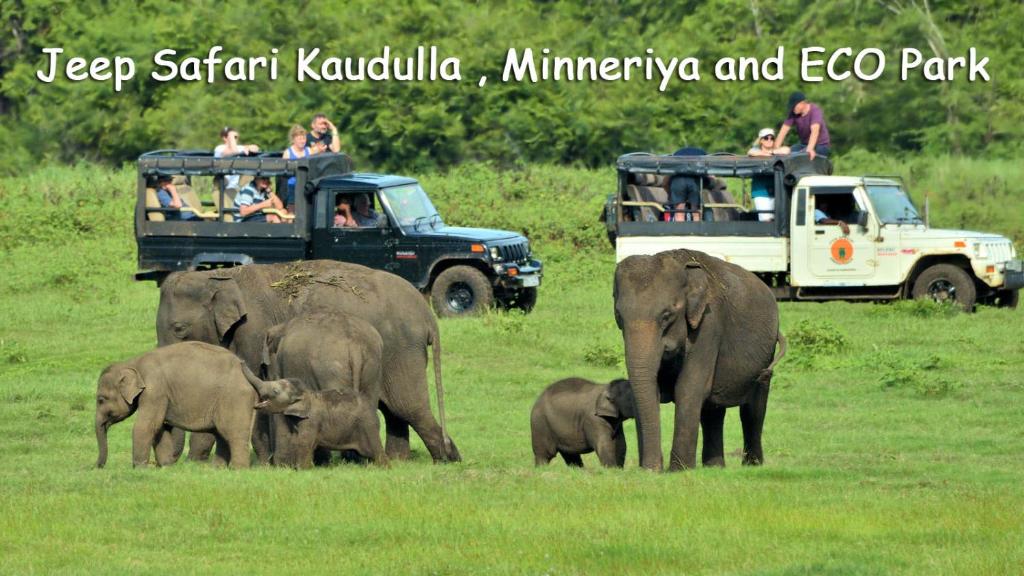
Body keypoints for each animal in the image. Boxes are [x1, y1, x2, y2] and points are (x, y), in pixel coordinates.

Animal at [94, 340, 284, 467]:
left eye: (101, 399)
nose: (97, 467)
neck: (133, 363)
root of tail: (251, 378)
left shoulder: (155, 391)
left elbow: (147, 425)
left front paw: (139, 468)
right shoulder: (161, 395)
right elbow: (160, 428)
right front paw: (166, 466)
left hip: (235, 398)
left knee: (233, 434)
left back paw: (238, 470)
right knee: (222, 434)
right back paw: (218, 469)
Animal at [252, 377, 387, 467]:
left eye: (275, 391)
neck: (305, 393)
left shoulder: (311, 420)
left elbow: (303, 442)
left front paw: (302, 470)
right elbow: (295, 441)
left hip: (367, 425)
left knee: (375, 451)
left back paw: (384, 467)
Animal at [614, 249, 782, 469]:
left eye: (666, 315)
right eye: (619, 316)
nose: (652, 467)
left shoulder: (709, 325)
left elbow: (689, 388)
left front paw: (679, 470)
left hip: (767, 354)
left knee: (753, 409)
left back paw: (752, 465)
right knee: (714, 411)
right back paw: (715, 467)